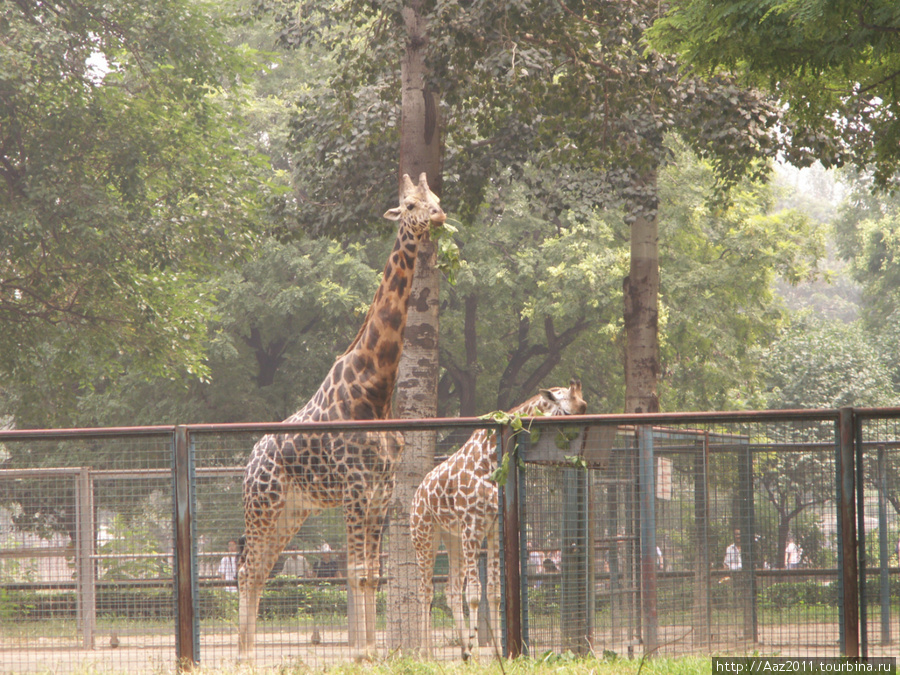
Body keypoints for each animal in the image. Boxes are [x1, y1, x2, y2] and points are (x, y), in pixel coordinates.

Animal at [239, 173, 446, 660]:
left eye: (436, 198)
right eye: (410, 205)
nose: (440, 217)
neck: (377, 387)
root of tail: (249, 461)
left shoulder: (381, 492)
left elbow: (372, 575)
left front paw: (374, 651)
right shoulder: (355, 487)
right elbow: (355, 573)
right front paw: (361, 652)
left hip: (291, 513)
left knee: (259, 571)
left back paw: (248, 653)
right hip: (261, 506)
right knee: (245, 571)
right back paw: (241, 654)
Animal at [410, 380, 592, 660]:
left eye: (584, 409)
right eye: (567, 412)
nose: (581, 449)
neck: (488, 462)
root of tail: (415, 499)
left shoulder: (493, 526)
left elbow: (495, 592)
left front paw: (496, 651)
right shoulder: (473, 524)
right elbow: (474, 593)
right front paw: (476, 651)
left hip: (452, 538)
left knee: (450, 591)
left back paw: (462, 649)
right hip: (425, 535)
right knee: (425, 592)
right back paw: (426, 653)